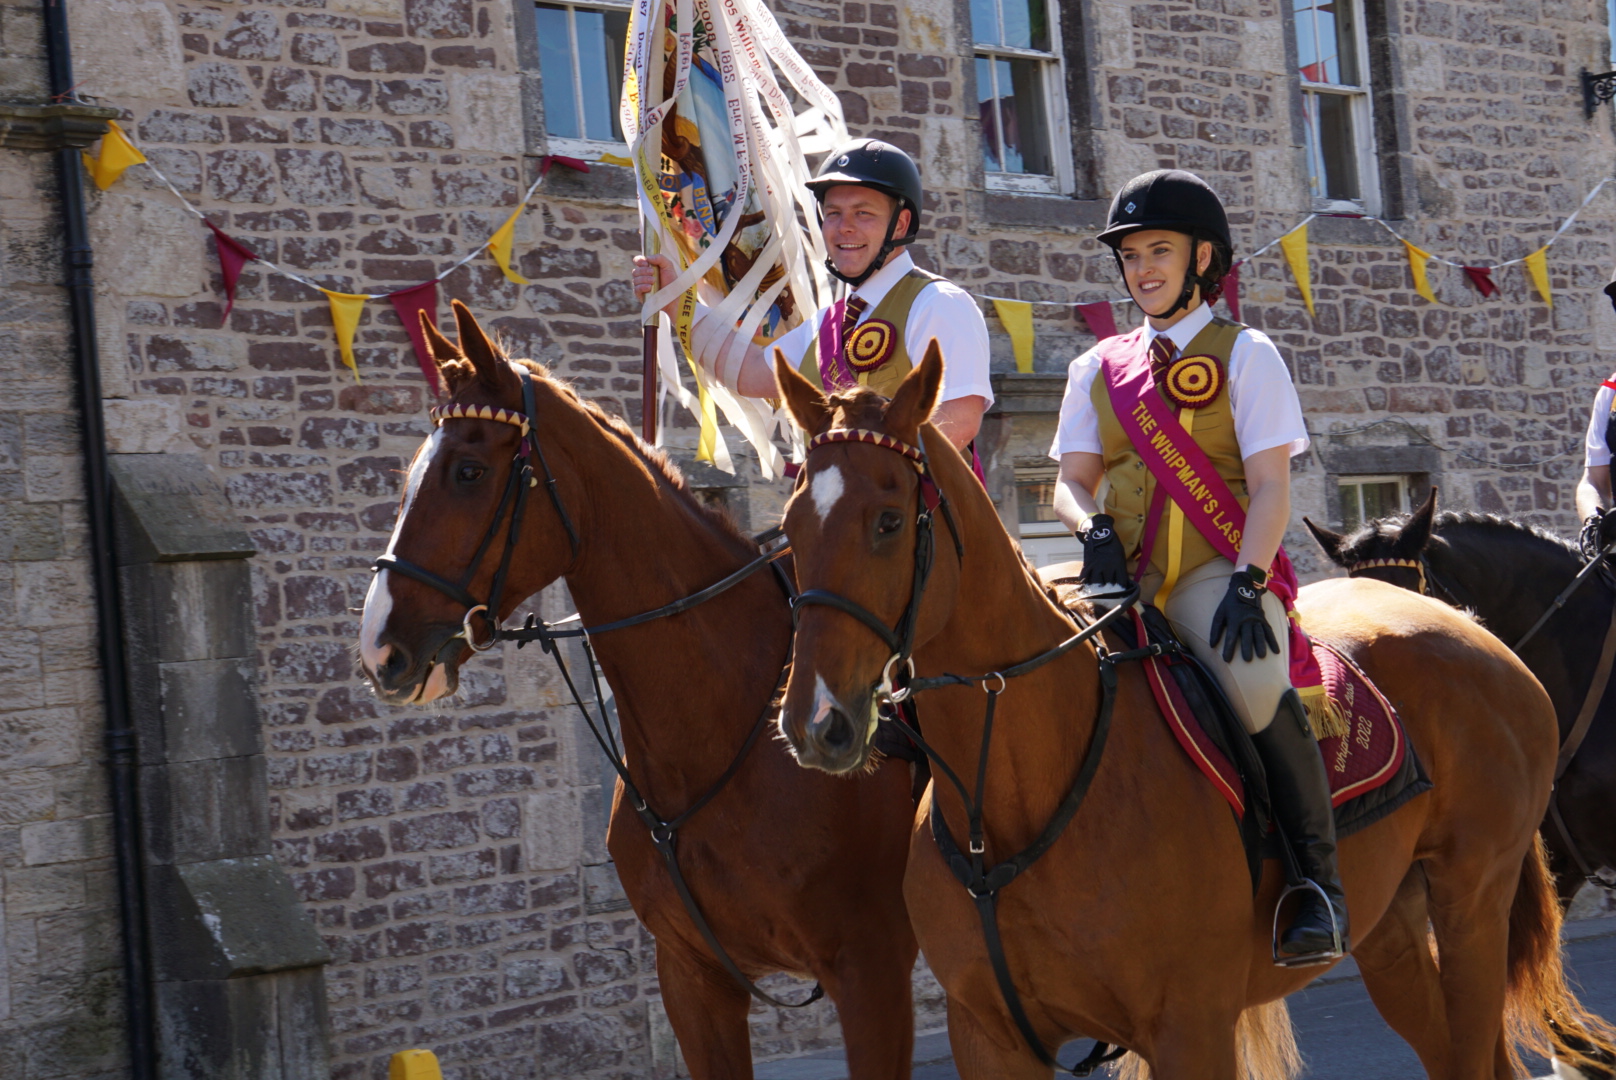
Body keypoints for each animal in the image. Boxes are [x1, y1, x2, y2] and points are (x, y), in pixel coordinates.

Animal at [765, 347, 1616, 1080]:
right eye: (791, 526)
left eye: (887, 521)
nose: (816, 723)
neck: (1009, 803)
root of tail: (1477, 634)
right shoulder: (990, 1039)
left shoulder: (1189, 1026)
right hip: (1394, 929)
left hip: (1472, 903)